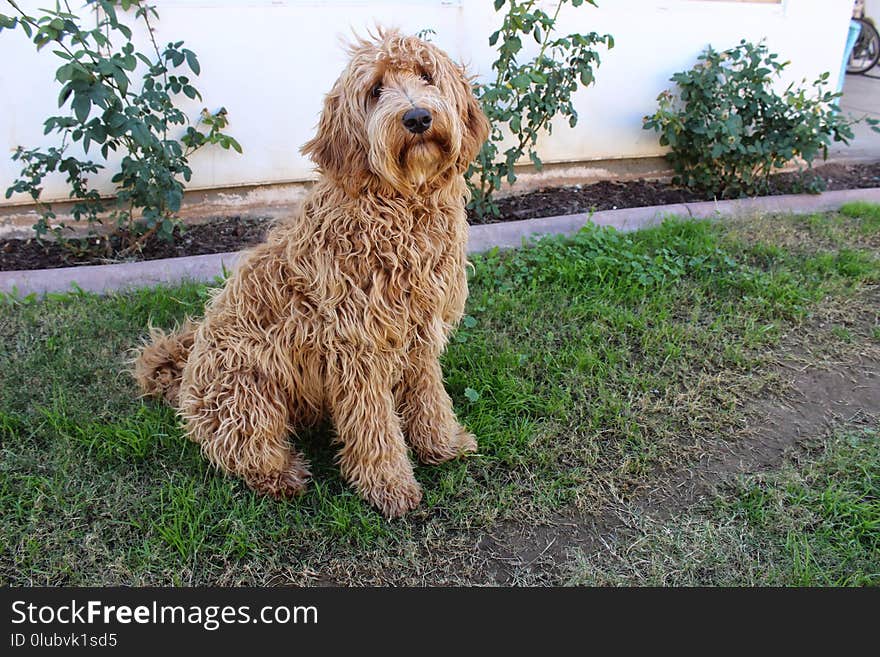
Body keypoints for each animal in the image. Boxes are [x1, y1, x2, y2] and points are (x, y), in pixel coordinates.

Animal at [132, 28, 488, 516]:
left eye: (426, 75)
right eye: (375, 90)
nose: (417, 117)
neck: (397, 208)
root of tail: (183, 377)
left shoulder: (419, 333)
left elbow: (429, 394)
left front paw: (442, 444)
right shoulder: (357, 348)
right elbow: (374, 424)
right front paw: (390, 485)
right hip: (246, 390)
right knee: (239, 447)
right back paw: (282, 474)